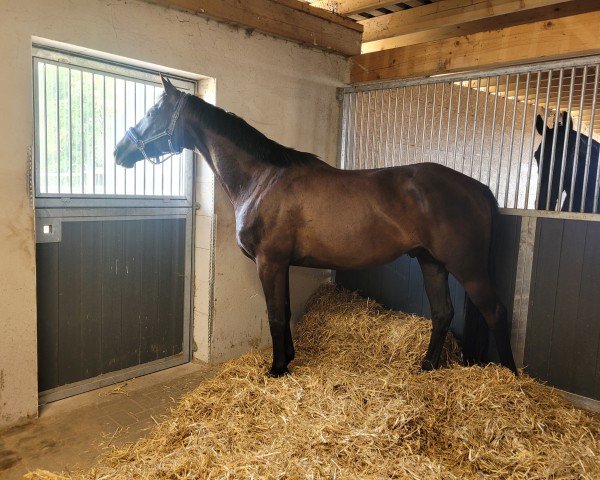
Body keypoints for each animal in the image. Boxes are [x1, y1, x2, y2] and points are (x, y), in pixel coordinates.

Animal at [115, 79, 516, 376]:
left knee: (495, 312)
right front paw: (289, 358)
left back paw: (511, 377)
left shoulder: (270, 262)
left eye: (153, 111)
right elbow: (286, 311)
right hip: (431, 262)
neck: (262, 179)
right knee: (443, 313)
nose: (120, 151)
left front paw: (277, 368)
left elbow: (276, 315)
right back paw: (427, 366)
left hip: (467, 267)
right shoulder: (282, 264)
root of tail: (478, 188)